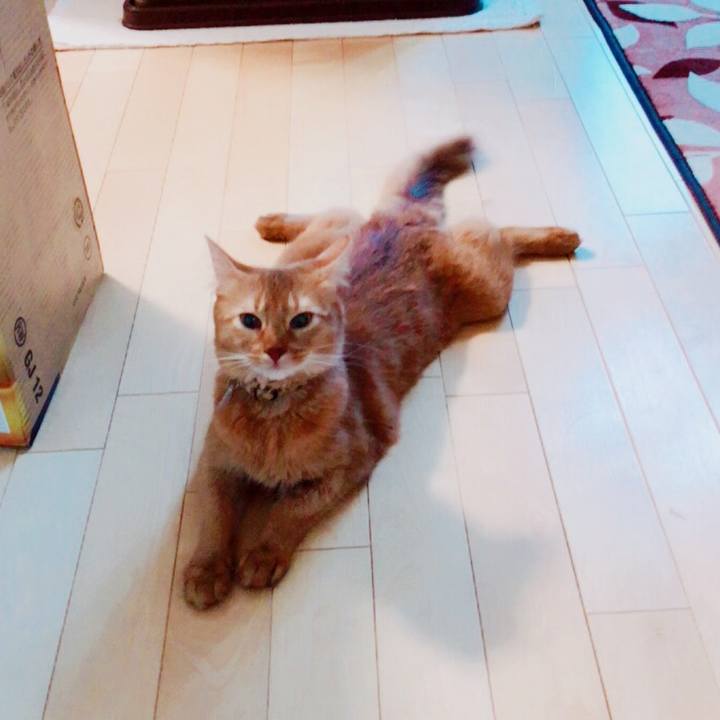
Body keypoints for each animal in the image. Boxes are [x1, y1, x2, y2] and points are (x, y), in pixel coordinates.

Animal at [185, 137, 580, 610]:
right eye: (249, 321)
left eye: (301, 320)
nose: (275, 350)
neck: (272, 417)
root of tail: (401, 221)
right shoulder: (215, 464)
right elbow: (213, 517)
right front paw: (206, 570)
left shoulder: (353, 461)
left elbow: (291, 509)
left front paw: (263, 555)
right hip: (326, 245)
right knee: (340, 210)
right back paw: (273, 222)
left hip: (487, 290)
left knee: (496, 231)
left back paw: (562, 236)